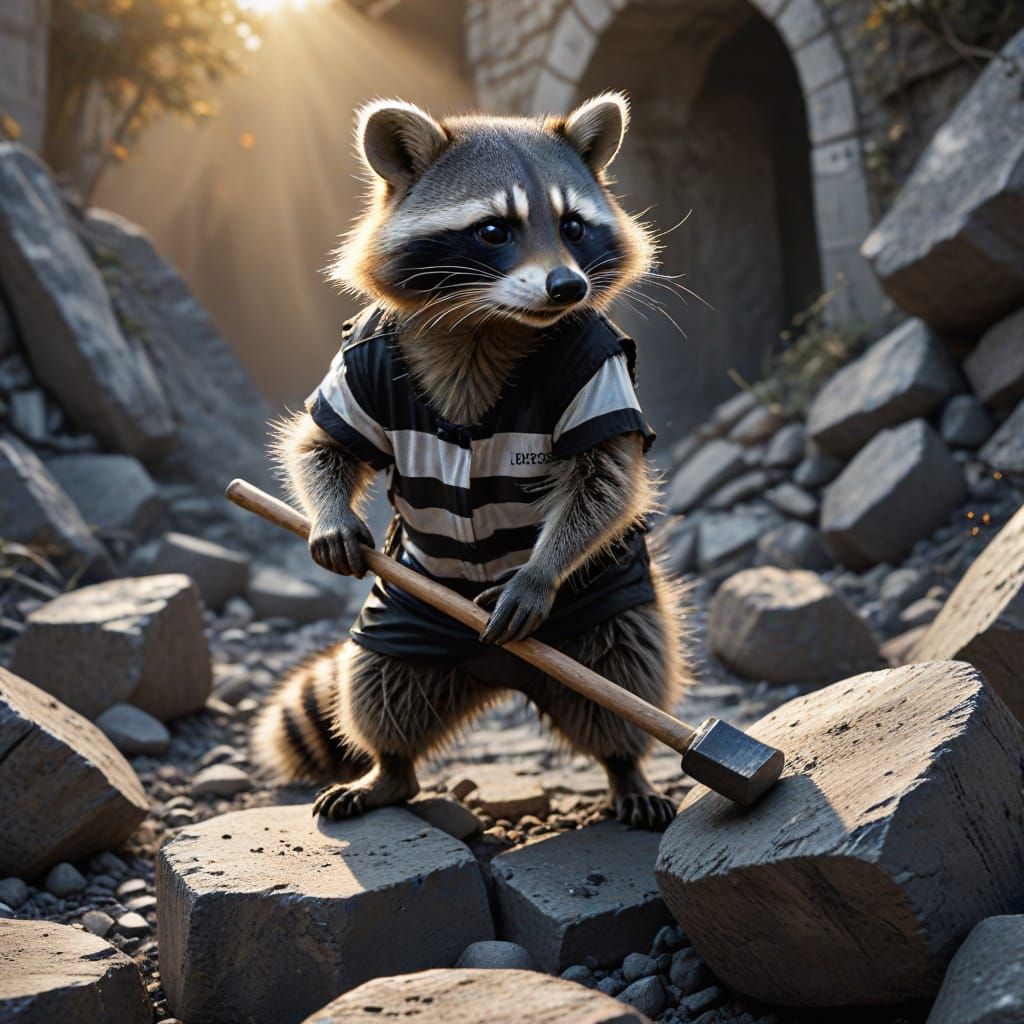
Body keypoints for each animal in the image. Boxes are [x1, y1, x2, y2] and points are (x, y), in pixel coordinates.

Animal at [252, 91, 689, 830]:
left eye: (574, 226)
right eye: (493, 230)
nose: (569, 288)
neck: (487, 317)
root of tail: (505, 671)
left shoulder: (593, 363)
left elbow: (603, 477)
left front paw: (537, 571)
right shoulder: (364, 355)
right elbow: (325, 445)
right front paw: (330, 516)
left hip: (602, 606)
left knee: (620, 674)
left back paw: (625, 765)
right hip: (406, 616)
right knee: (380, 685)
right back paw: (389, 770)